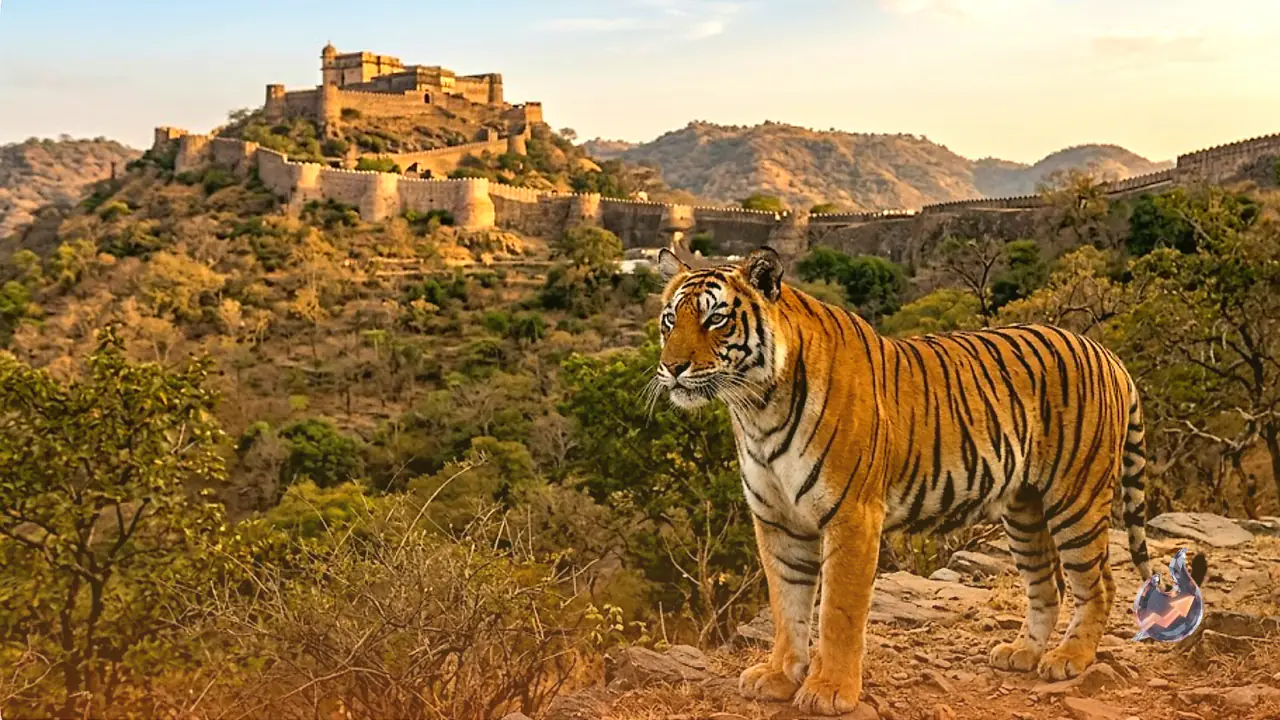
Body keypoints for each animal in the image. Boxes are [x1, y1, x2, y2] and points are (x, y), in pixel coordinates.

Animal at [653, 246, 1153, 715]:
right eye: (669, 320)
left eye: (716, 319)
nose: (672, 368)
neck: (757, 408)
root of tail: (1104, 351)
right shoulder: (777, 520)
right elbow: (787, 604)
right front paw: (778, 676)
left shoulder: (852, 516)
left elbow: (837, 611)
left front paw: (830, 690)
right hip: (1024, 509)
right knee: (1048, 583)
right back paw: (1022, 653)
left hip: (1076, 499)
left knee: (1099, 584)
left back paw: (1070, 658)